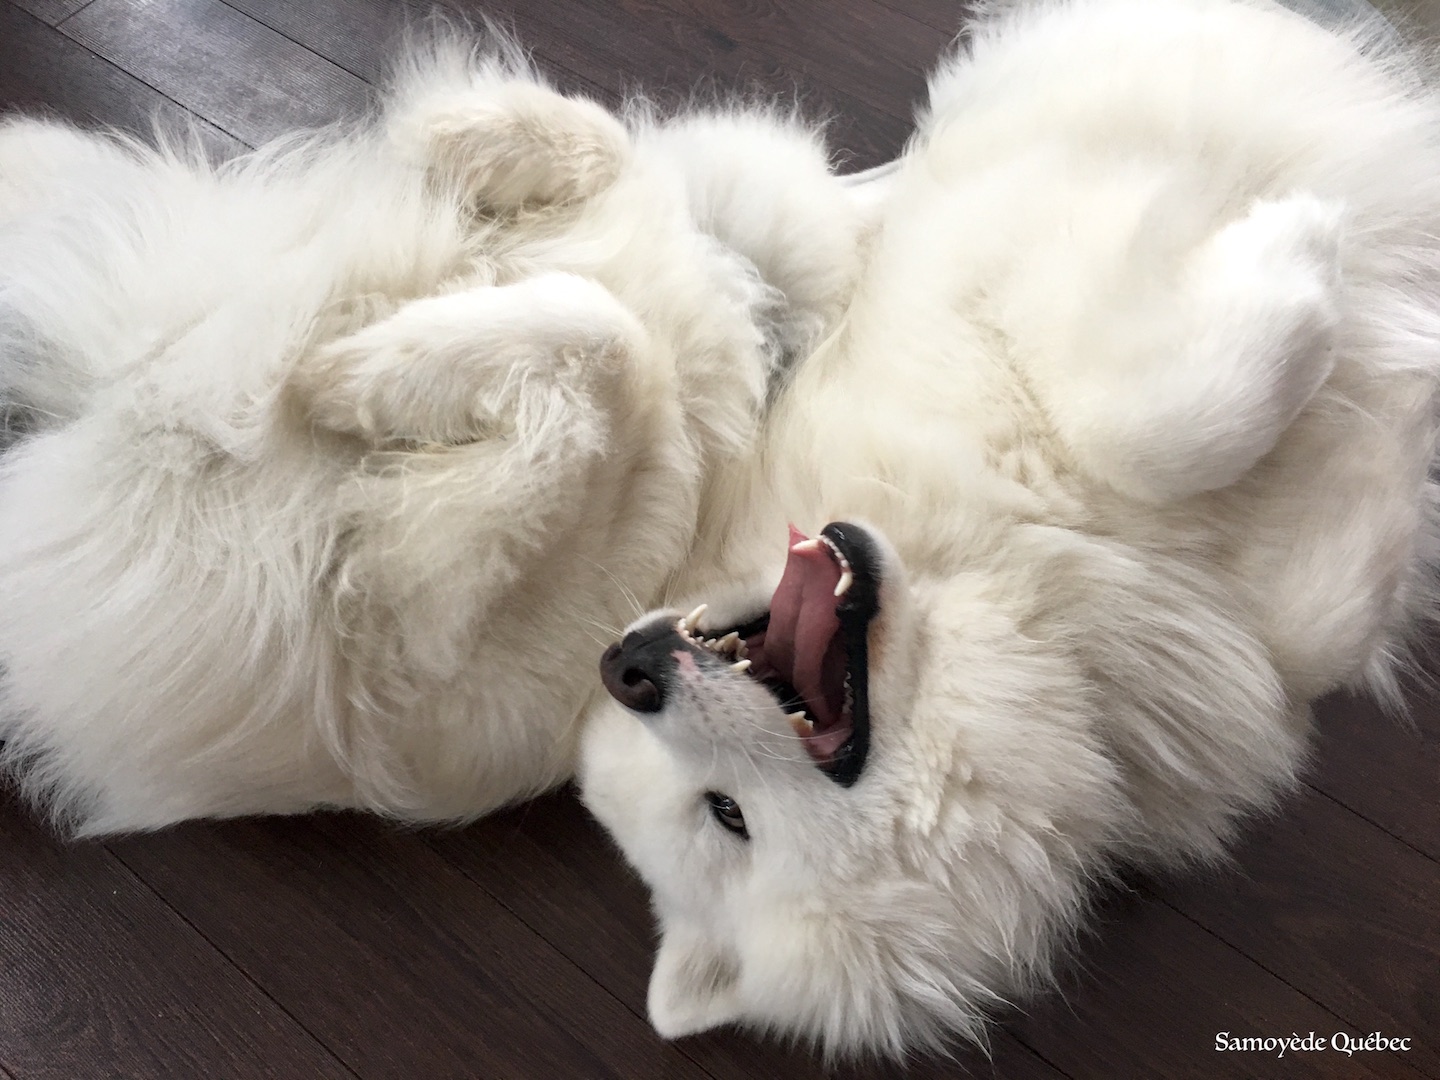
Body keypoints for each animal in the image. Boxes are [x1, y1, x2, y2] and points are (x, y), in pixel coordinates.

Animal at [578, 0, 1440, 1065]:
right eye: (729, 815)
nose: (626, 669)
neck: (1010, 577)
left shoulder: (1001, 274)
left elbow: (1163, 435)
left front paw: (1313, 249)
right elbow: (1282, 555)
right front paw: (1319, 266)